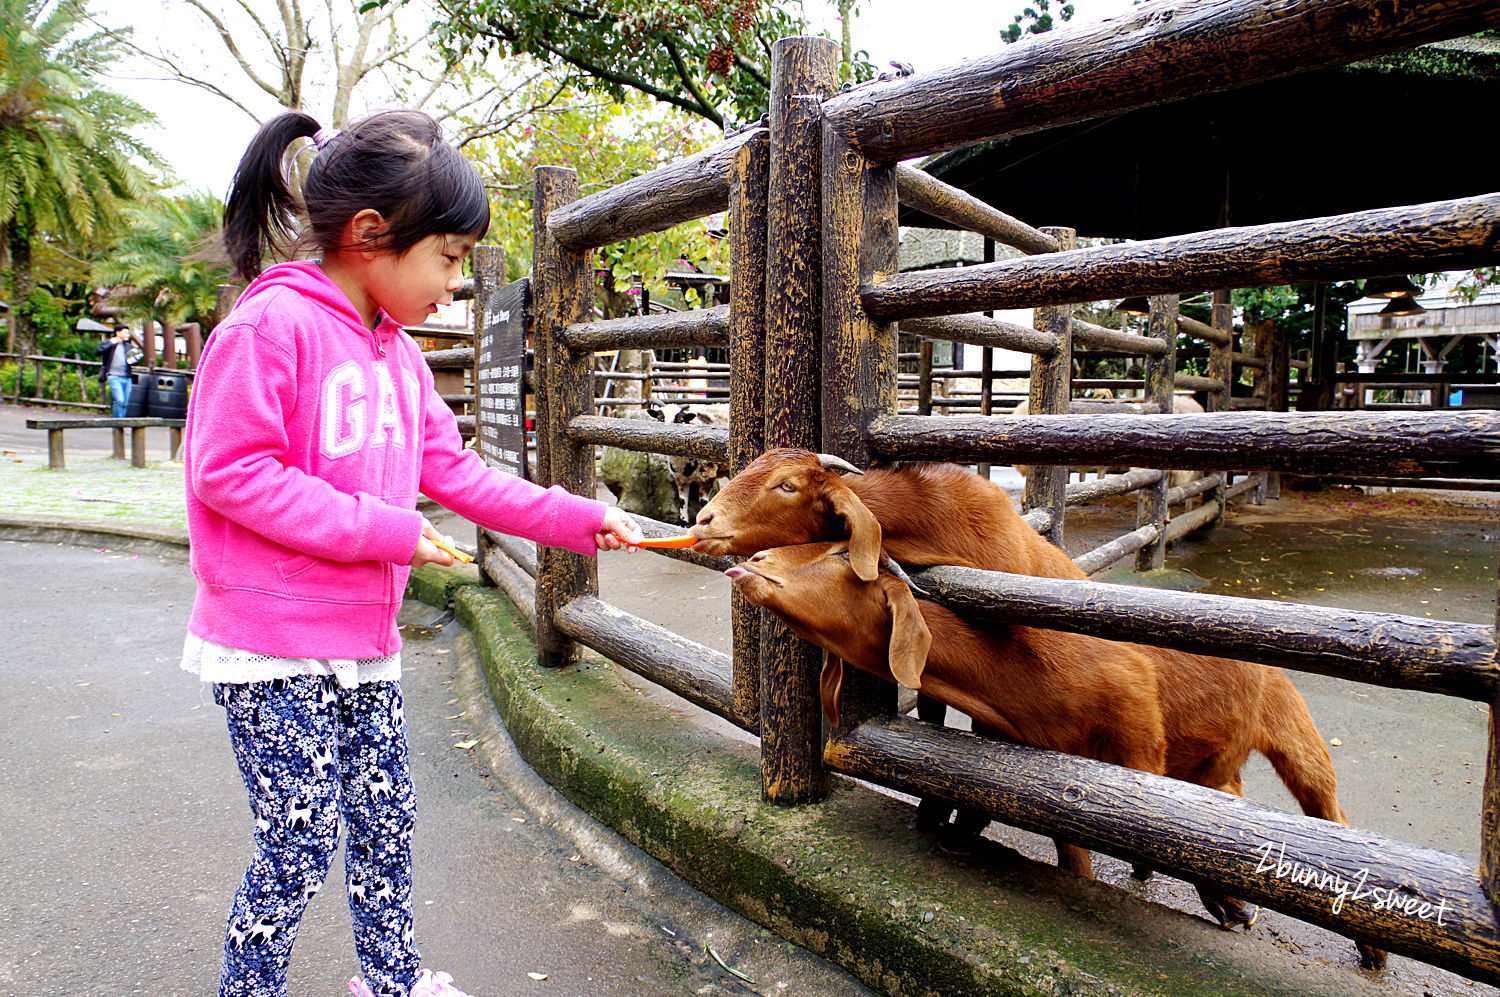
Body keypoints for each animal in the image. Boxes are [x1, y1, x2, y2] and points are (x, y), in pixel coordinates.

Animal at [732, 539, 1386, 965]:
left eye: (842, 556)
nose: (753, 562)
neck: (1025, 674)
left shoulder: (1137, 729)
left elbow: (1158, 823)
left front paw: (1226, 900)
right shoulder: (1053, 771)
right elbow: (1074, 856)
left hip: (1290, 722)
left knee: (1324, 806)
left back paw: (1368, 950)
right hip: (1216, 758)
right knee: (1228, 793)